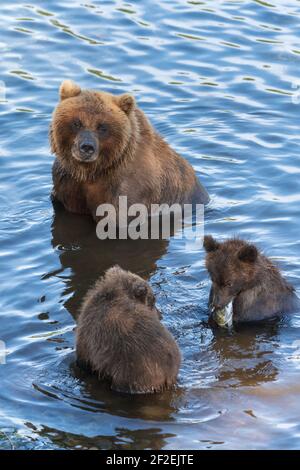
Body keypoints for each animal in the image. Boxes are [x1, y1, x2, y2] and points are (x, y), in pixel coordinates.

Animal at [49, 79, 209, 222]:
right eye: (77, 122)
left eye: (102, 127)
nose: (87, 147)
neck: (92, 172)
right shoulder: (67, 183)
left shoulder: (128, 190)